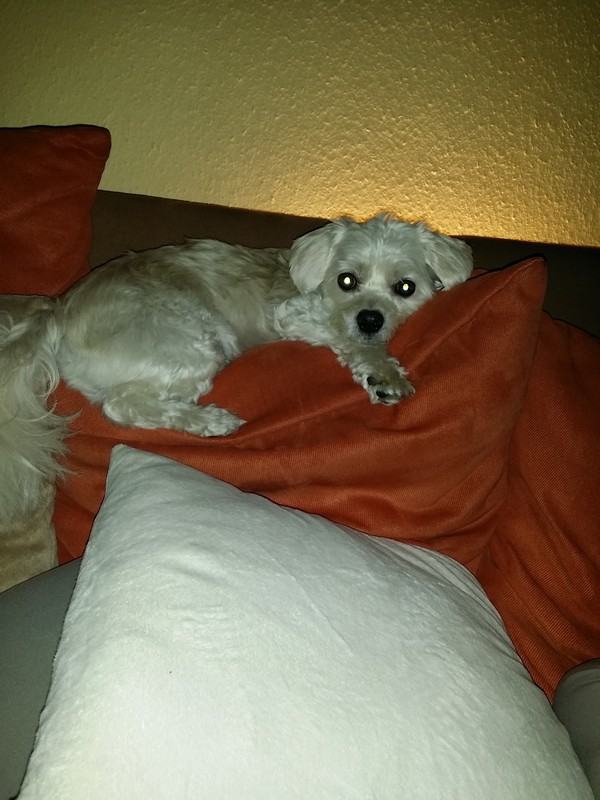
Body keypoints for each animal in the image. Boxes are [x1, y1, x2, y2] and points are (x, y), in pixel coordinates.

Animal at [0, 214, 472, 524]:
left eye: (406, 287)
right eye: (346, 280)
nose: (370, 318)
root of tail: (59, 308)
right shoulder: (295, 314)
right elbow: (351, 341)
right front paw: (382, 373)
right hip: (196, 341)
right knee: (122, 405)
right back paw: (211, 422)